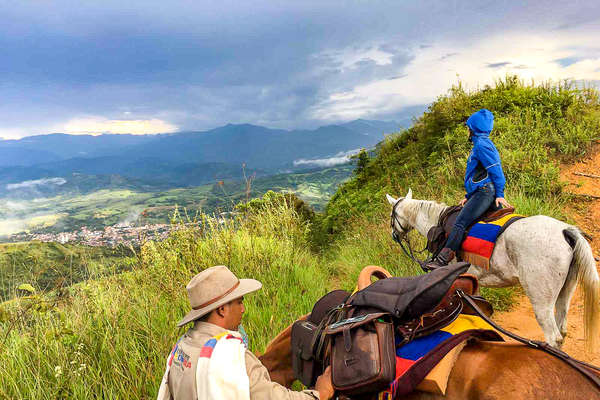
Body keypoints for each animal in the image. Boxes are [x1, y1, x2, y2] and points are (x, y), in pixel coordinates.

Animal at [386, 189, 600, 352]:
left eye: (391, 216)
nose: (394, 235)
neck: (437, 223)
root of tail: (565, 231)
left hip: (541, 299)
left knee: (553, 336)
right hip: (566, 292)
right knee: (562, 331)